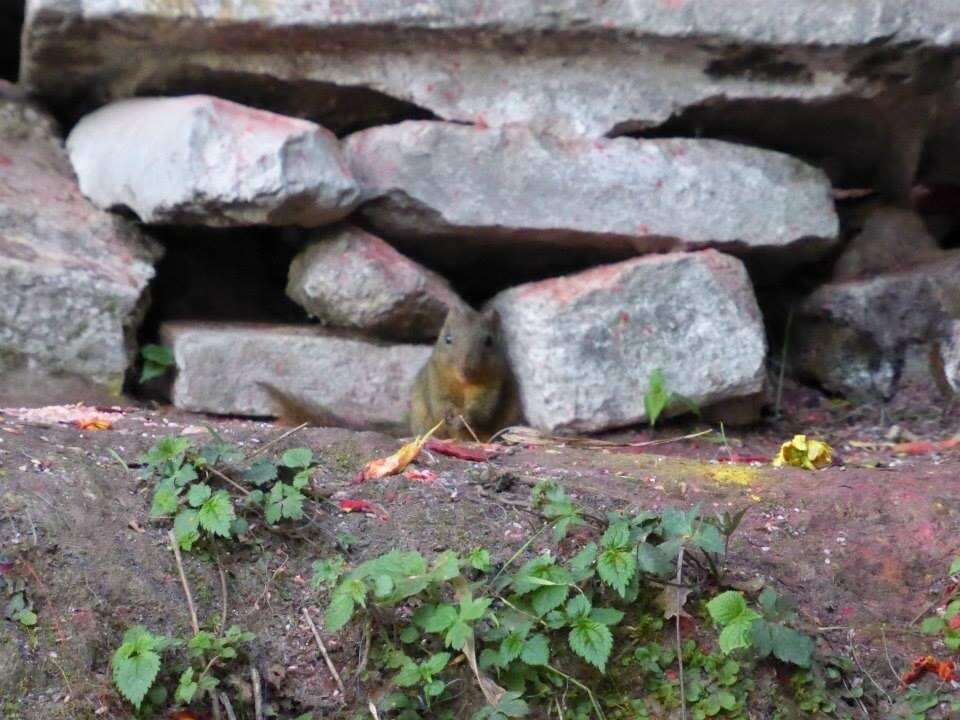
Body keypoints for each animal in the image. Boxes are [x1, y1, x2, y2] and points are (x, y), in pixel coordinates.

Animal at [408, 306, 520, 442]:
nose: (465, 371)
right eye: (448, 339)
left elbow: (483, 408)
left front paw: (465, 418)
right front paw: (449, 413)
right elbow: (439, 403)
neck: (463, 384)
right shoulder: (434, 379)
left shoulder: (494, 382)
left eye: (489, 341)